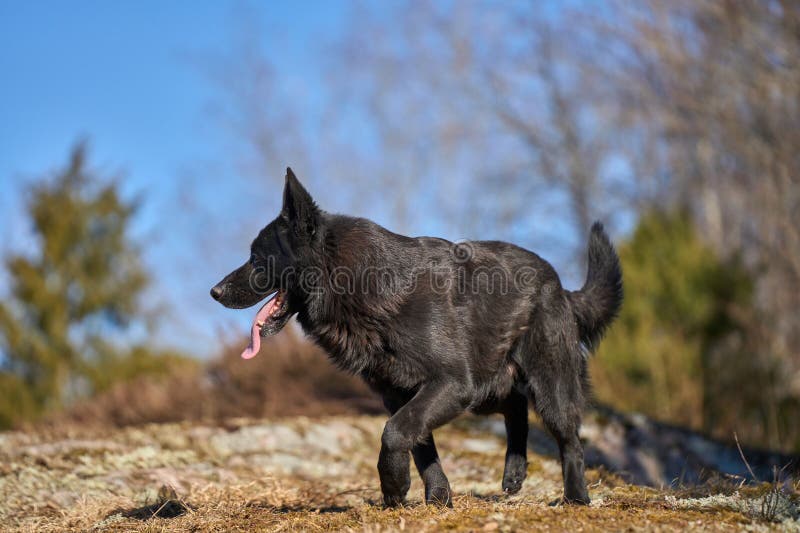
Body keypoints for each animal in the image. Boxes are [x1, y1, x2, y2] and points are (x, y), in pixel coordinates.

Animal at [209, 168, 620, 504]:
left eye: (257, 258)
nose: (214, 292)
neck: (356, 280)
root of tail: (561, 287)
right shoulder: (403, 394)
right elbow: (421, 448)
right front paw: (437, 498)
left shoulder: (449, 383)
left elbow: (395, 433)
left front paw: (393, 486)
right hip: (483, 390)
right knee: (516, 407)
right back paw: (515, 473)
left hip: (546, 388)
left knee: (570, 441)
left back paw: (576, 498)